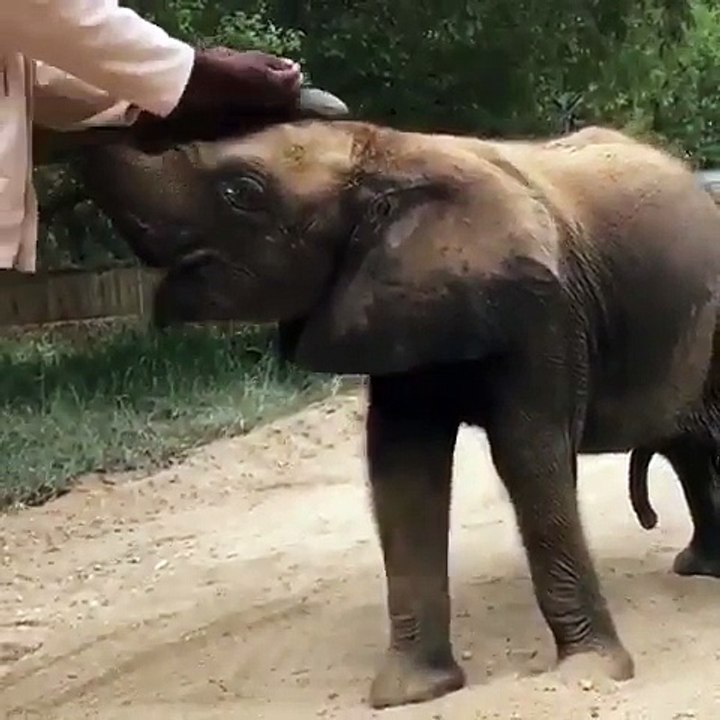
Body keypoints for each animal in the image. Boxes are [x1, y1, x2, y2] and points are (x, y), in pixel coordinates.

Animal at [69, 118, 720, 709]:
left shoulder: (545, 311)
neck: (385, 155)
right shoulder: (395, 308)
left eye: (242, 191)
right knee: (690, 452)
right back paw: (700, 568)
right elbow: (401, 470)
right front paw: (410, 694)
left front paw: (586, 675)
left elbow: (530, 456)